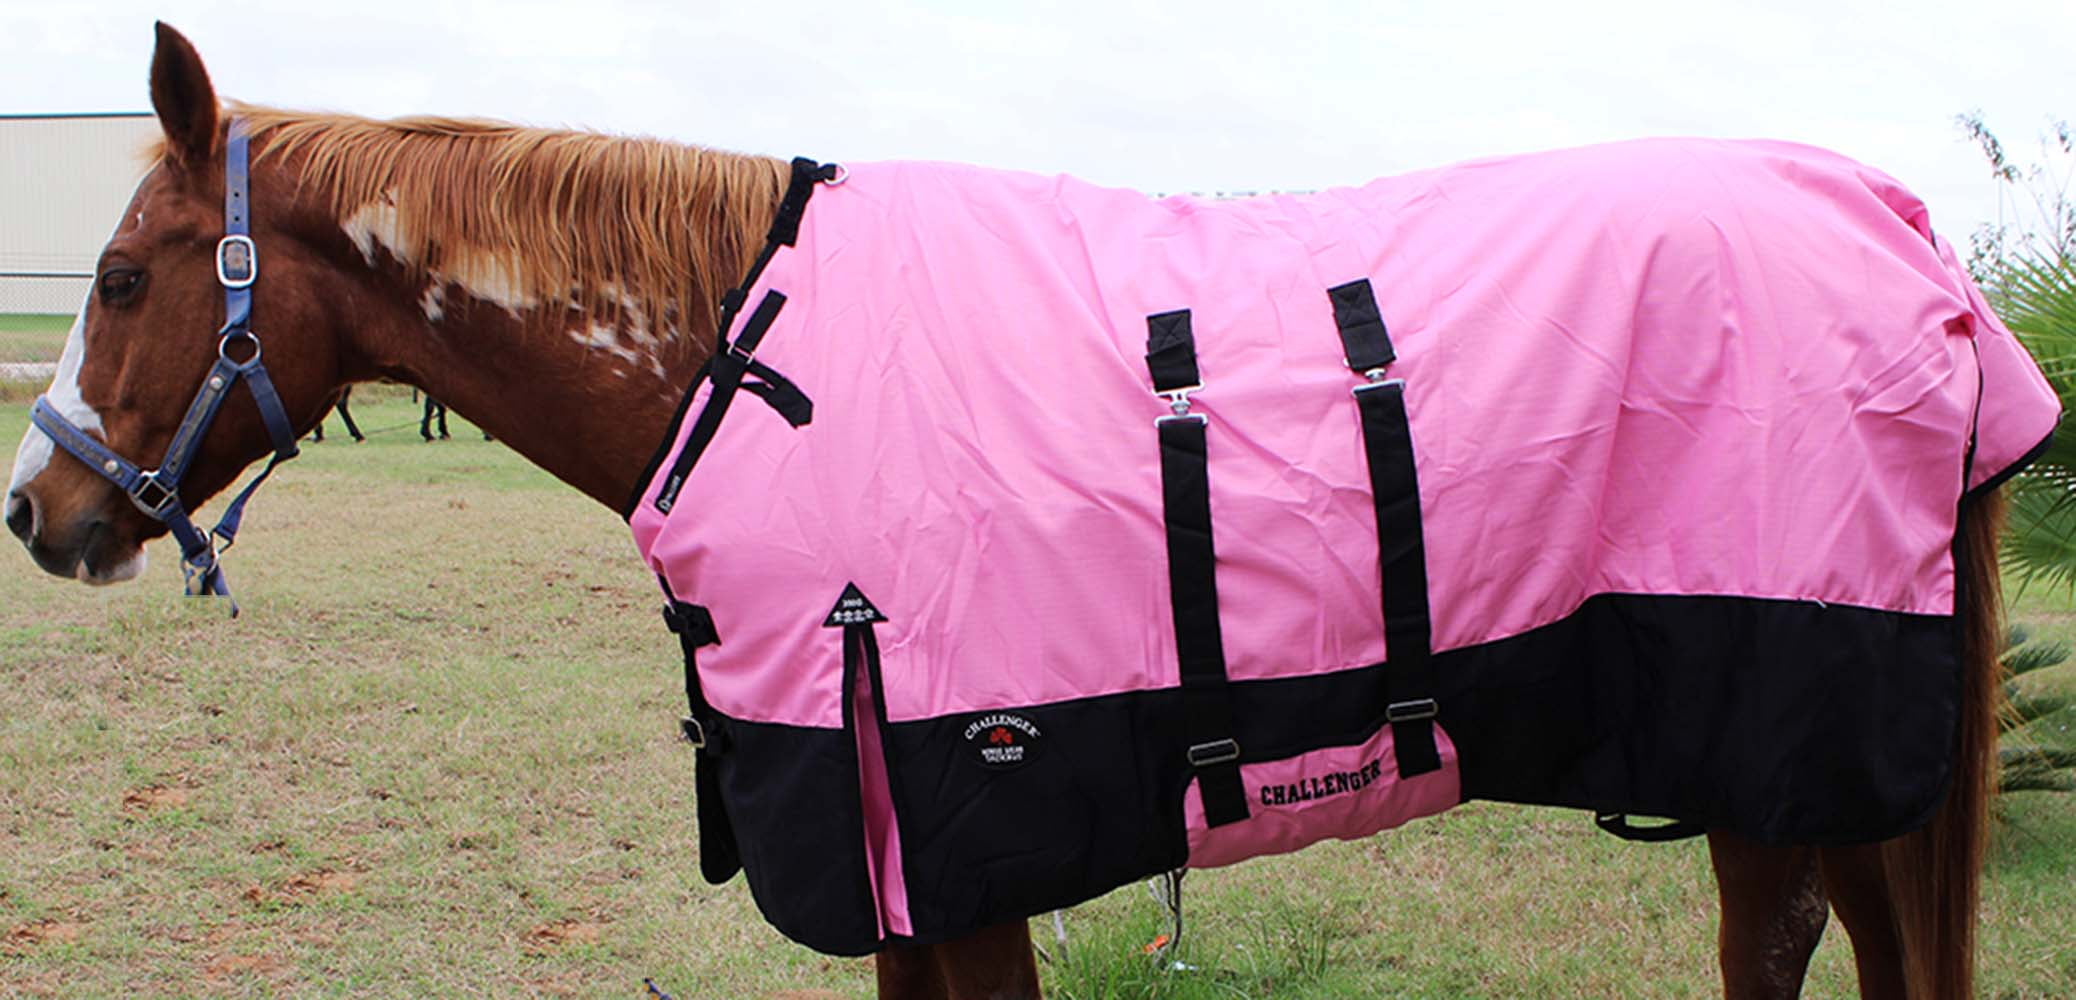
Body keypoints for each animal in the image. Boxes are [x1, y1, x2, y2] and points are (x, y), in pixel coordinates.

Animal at [2, 24, 2040, 999]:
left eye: (116, 275)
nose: (40, 513)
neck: (748, 350)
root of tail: (1905, 237)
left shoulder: (952, 849)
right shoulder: (904, 876)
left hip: (1775, 746)